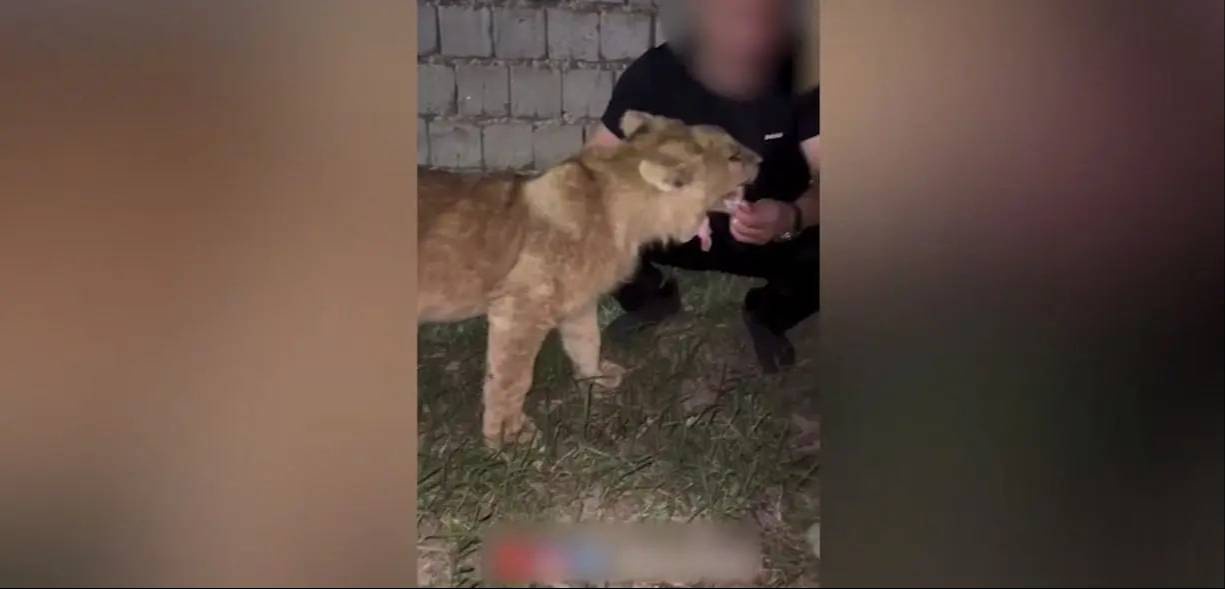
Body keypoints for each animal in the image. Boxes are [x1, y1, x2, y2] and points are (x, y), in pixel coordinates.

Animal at [418, 110, 761, 447]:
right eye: (733, 156)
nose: (760, 158)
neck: (621, 214)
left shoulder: (578, 301)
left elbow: (587, 341)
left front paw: (596, 377)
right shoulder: (520, 311)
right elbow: (511, 378)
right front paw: (508, 435)